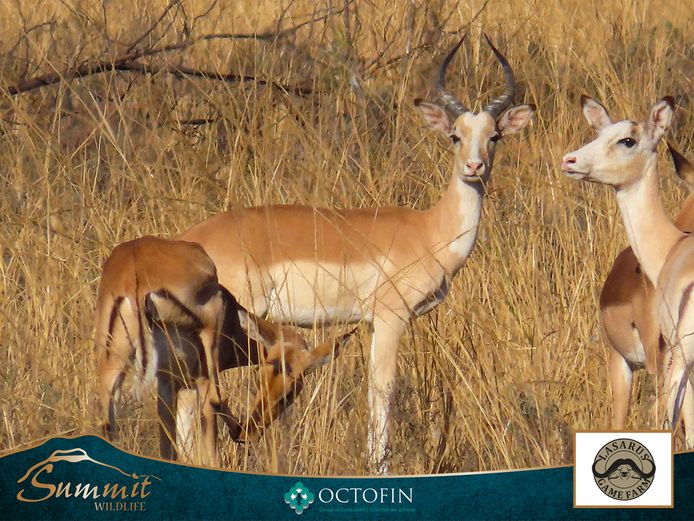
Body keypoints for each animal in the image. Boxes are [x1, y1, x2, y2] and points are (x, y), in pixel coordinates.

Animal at [95, 235, 352, 466]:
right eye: (290, 393)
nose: (248, 434)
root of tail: (134, 277)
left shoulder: (171, 383)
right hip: (209, 337)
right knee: (215, 401)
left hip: (114, 363)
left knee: (107, 421)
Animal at [179, 34, 535, 472]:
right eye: (455, 134)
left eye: (494, 136)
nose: (474, 167)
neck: (428, 231)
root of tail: (191, 239)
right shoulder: (390, 318)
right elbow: (382, 390)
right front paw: (379, 466)